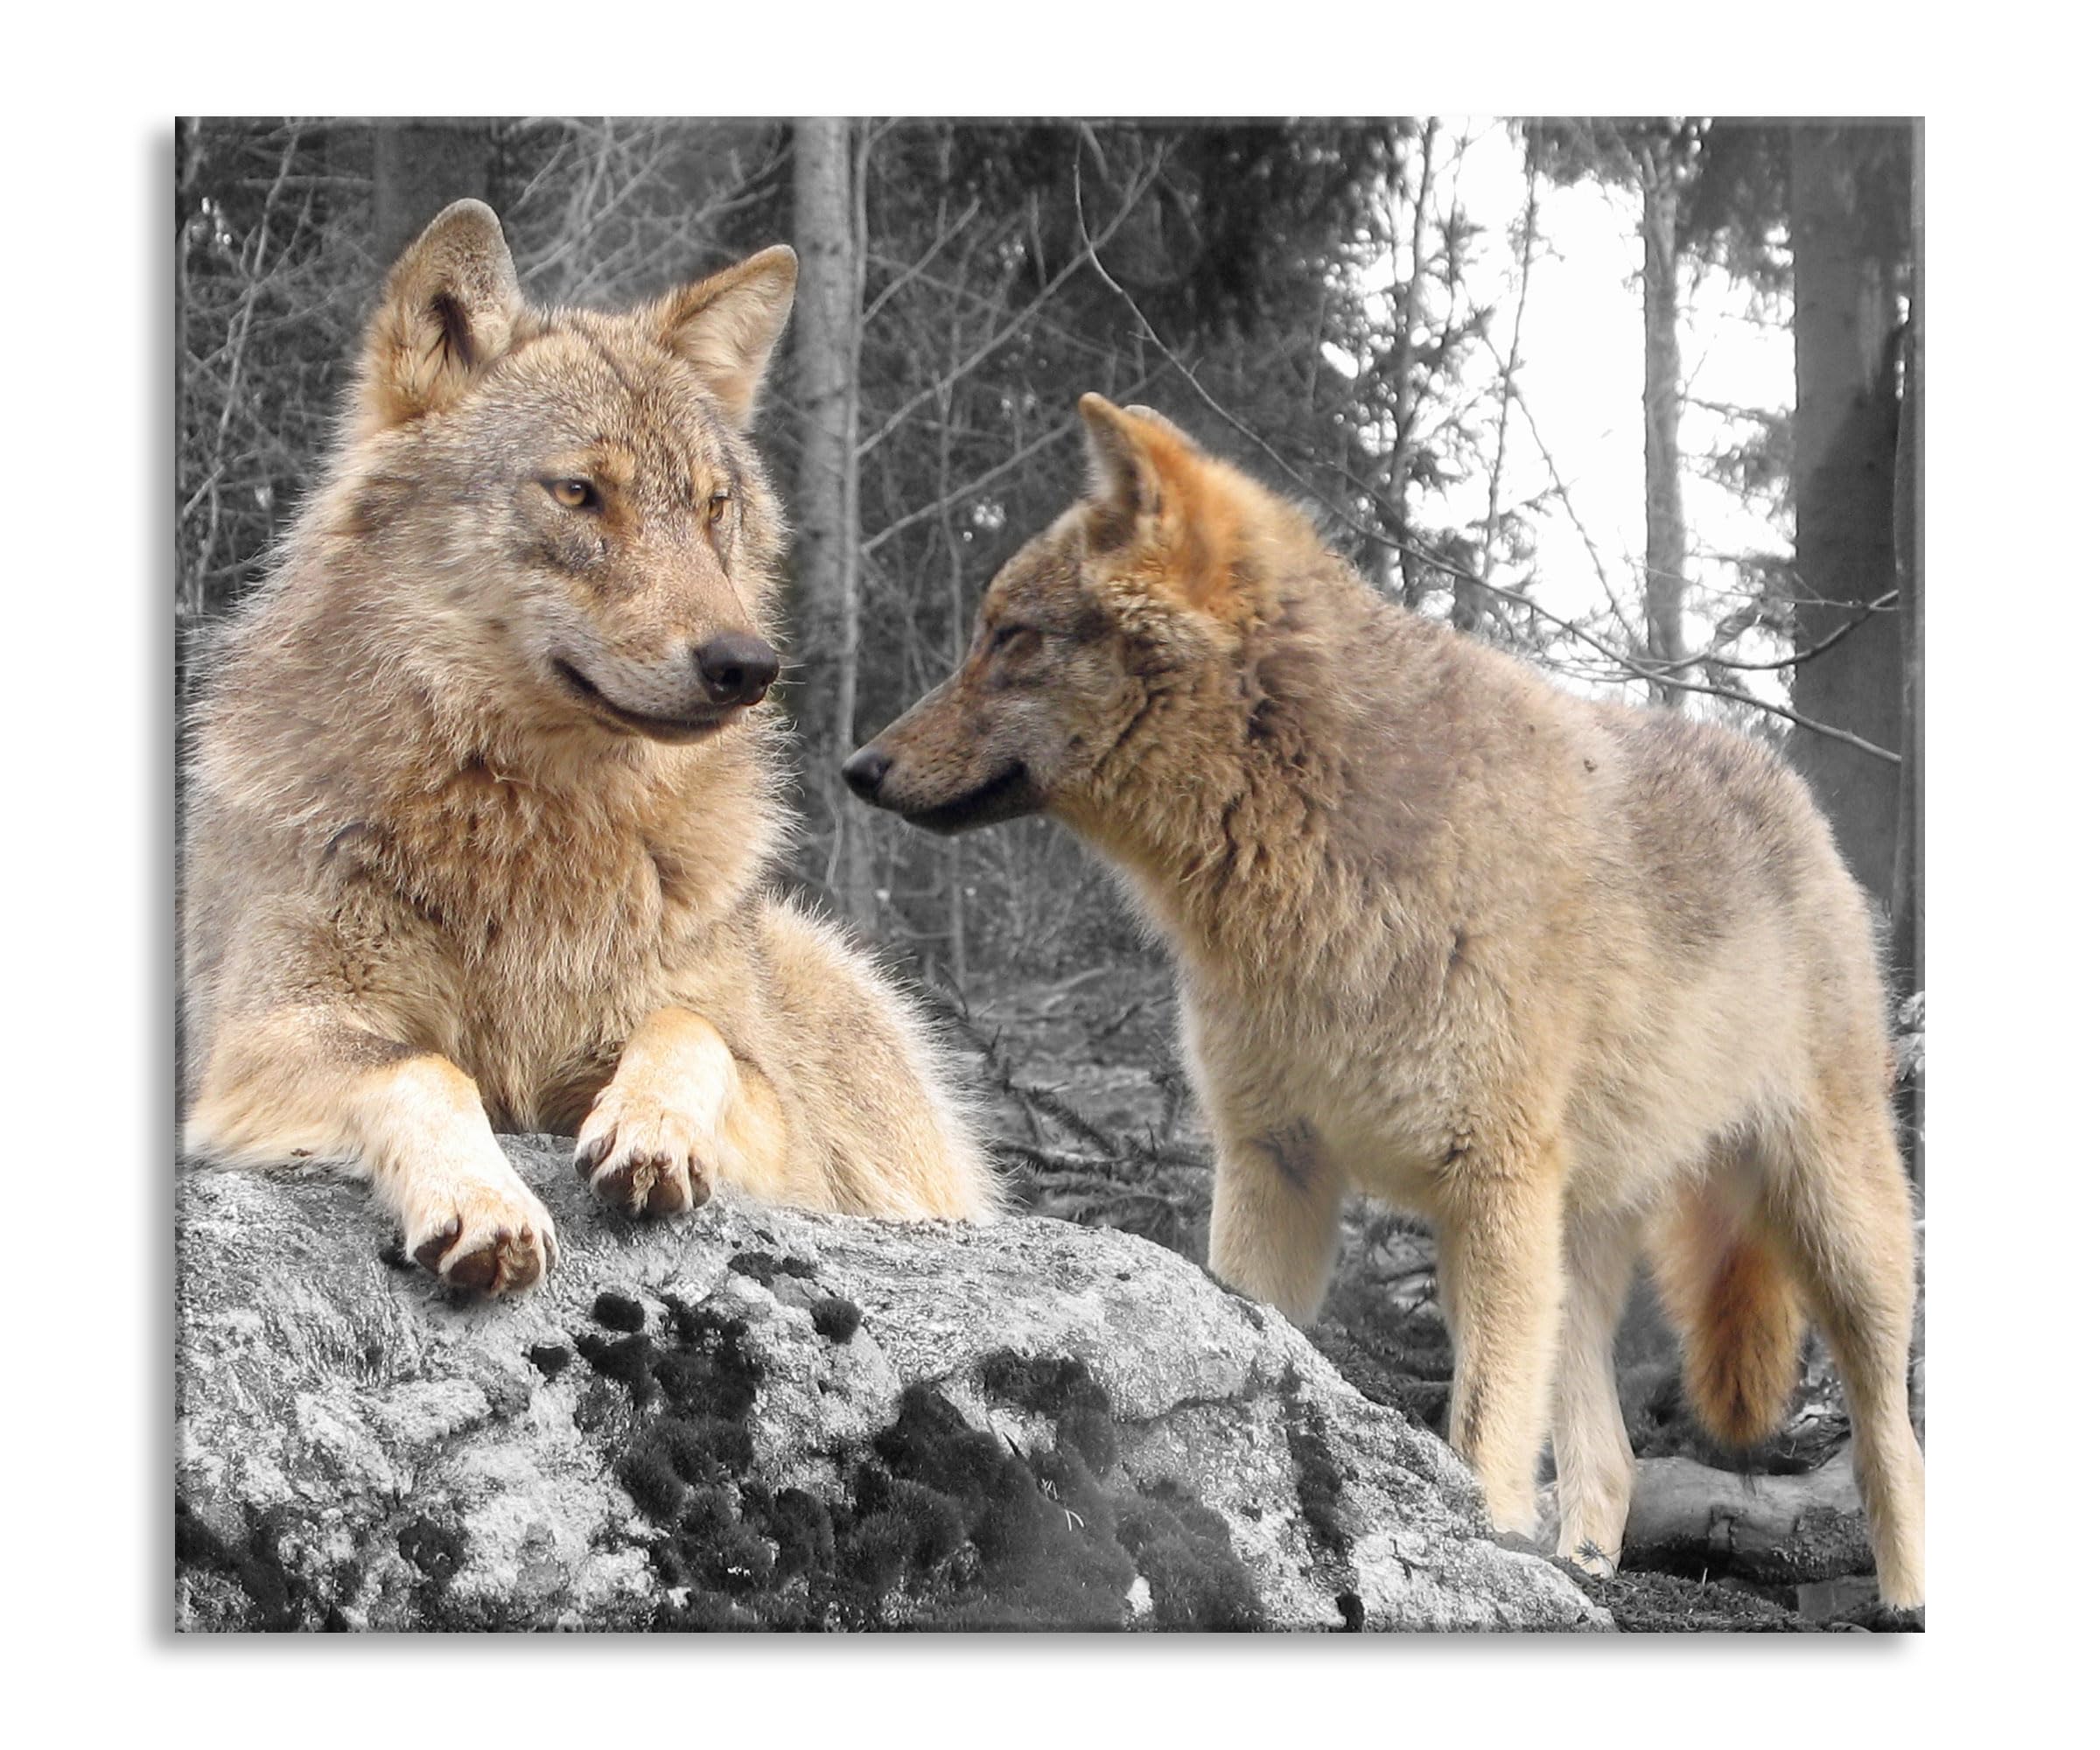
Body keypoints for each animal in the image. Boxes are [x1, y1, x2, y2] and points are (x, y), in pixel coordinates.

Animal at [182, 201, 995, 1298]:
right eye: (578, 493)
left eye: (713, 505)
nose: (747, 664)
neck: (533, 820)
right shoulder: (258, 1045)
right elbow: (427, 1068)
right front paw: (481, 1199)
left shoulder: (776, 1119)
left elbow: (691, 1031)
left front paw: (652, 1128)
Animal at [844, 394, 1925, 1608]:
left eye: (1012, 637)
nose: (857, 765)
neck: (1312, 854)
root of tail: (1791, 788)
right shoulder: (1273, 1164)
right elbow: (1262, 1338)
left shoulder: (1488, 1189)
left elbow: (1481, 1435)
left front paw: (1470, 1555)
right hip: (1572, 1260)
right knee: (1609, 1461)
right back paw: (1580, 1574)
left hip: (1835, 1236)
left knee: (1890, 1441)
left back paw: (1899, 1594)